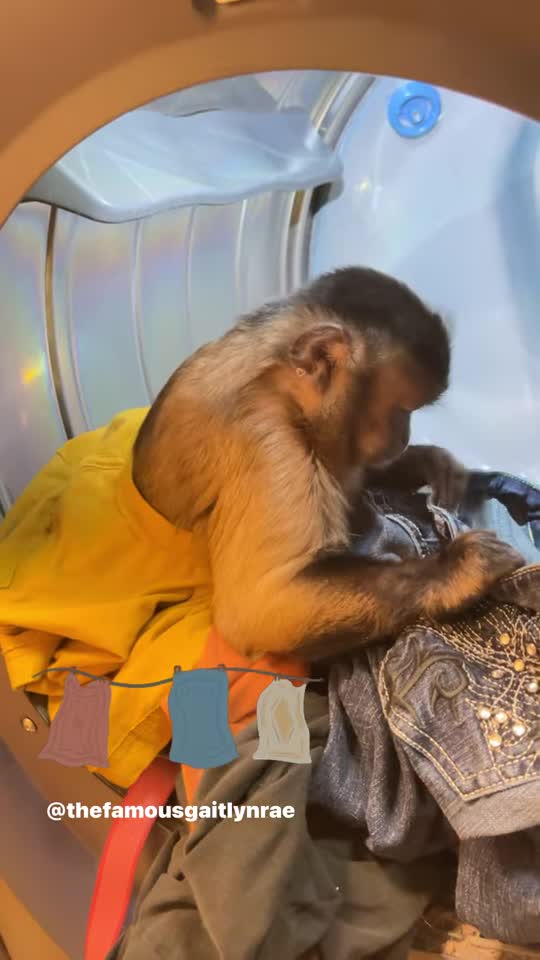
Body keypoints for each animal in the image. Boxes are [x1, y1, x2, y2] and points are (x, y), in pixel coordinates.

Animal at [132, 266, 524, 662]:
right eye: (402, 411)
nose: (404, 436)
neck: (275, 377)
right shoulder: (268, 439)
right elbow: (258, 608)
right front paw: (458, 568)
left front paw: (430, 462)